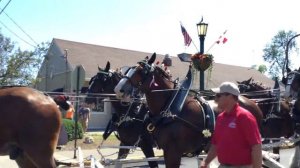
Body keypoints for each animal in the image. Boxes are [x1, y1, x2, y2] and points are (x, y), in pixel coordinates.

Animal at [113, 52, 262, 168]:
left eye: (140, 71)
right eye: (128, 70)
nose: (118, 90)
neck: (171, 109)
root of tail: (253, 104)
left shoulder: (173, 152)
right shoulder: (164, 151)